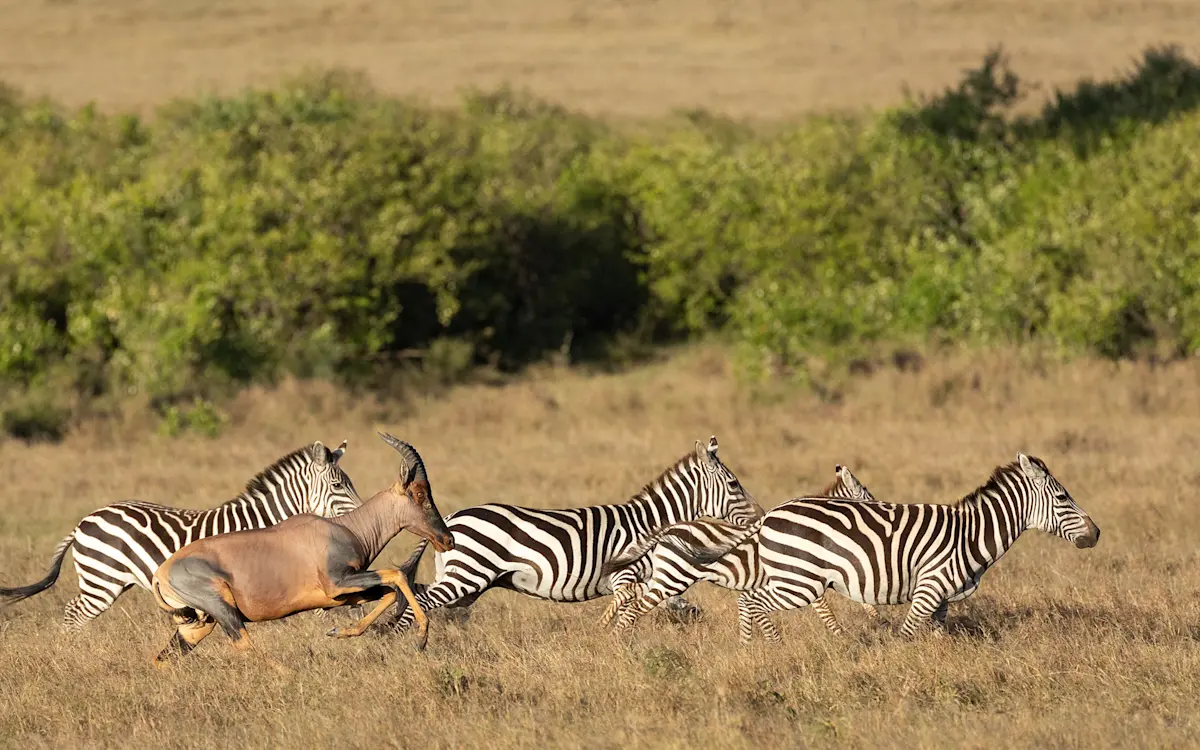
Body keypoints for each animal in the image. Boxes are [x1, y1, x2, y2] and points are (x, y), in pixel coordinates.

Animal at [383, 436, 764, 632]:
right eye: (734, 484)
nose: (761, 516)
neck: (650, 524)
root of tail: (450, 517)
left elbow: (661, 601)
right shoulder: (623, 575)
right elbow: (628, 603)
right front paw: (608, 637)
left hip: (463, 581)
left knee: (415, 592)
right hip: (468, 576)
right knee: (422, 601)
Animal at [604, 464, 883, 639]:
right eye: (869, 497)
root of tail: (669, 529)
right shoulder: (803, 577)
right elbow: (828, 609)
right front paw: (849, 634)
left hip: (665, 576)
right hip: (673, 577)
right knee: (633, 600)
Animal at [647, 452, 1100, 642]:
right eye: (1063, 498)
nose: (1096, 535)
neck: (971, 533)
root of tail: (771, 513)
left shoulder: (941, 599)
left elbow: (937, 636)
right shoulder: (928, 588)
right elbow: (906, 634)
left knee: (747, 601)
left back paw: (751, 651)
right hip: (800, 582)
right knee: (753, 602)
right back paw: (767, 648)